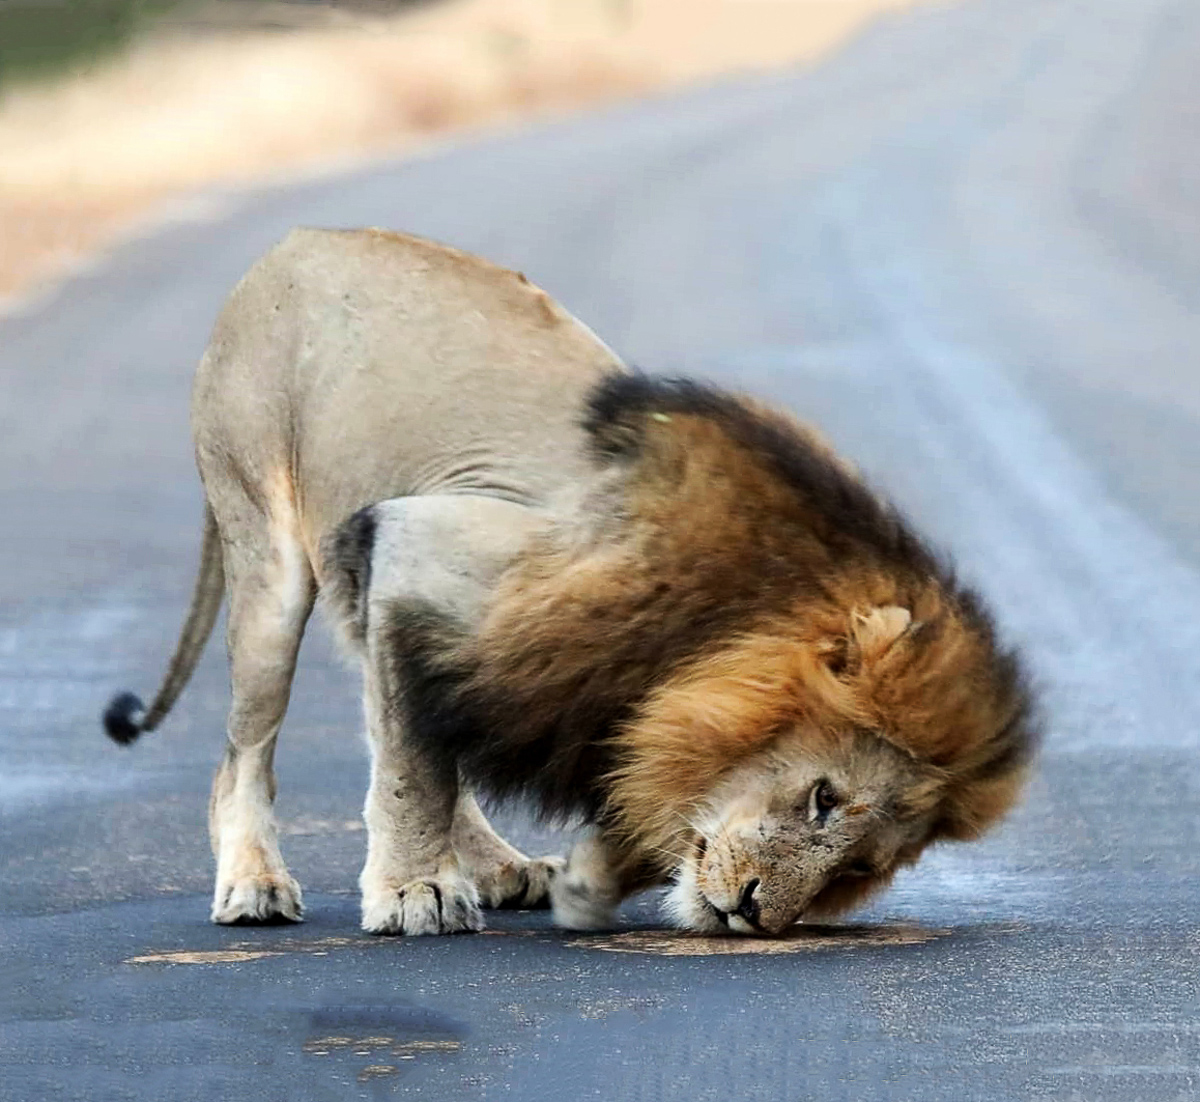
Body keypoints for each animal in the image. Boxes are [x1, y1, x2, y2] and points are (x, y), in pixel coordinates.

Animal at [103, 227, 1035, 937]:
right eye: (822, 798)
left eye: (861, 864)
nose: (756, 914)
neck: (707, 631)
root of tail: (290, 243)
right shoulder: (424, 543)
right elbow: (415, 772)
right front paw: (413, 892)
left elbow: (433, 748)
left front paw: (589, 874)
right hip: (267, 557)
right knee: (246, 751)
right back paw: (255, 883)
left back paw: (502, 869)